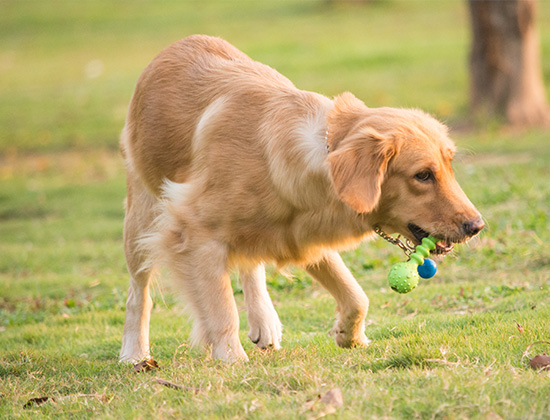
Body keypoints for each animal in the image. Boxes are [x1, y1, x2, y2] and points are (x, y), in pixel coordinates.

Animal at [118, 36, 486, 362]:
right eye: (422, 175)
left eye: (449, 166)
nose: (477, 226)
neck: (321, 153)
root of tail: (173, 47)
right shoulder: (193, 233)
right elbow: (221, 309)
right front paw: (231, 357)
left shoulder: (302, 236)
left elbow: (357, 296)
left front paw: (349, 336)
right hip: (141, 219)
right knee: (138, 293)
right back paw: (135, 353)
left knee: (250, 263)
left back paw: (264, 319)